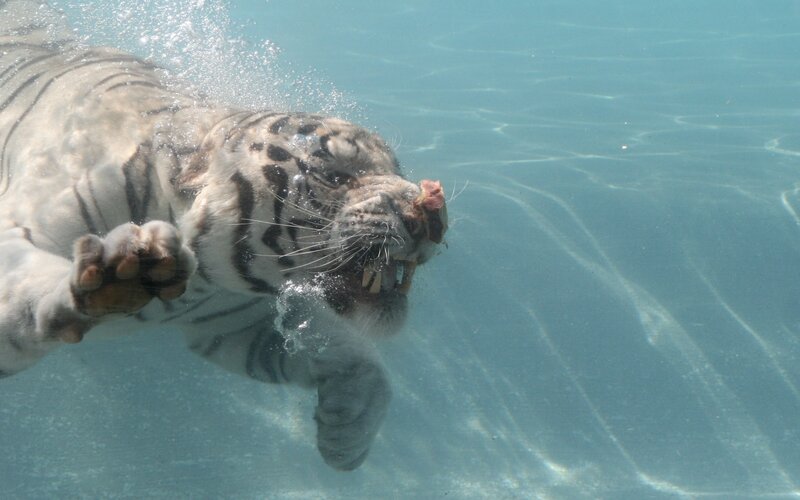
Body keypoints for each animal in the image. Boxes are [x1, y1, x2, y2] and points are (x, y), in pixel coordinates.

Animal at [0, 0, 447, 471]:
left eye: (397, 169)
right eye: (334, 176)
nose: (430, 214)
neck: (198, 276)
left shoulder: (233, 322)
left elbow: (354, 357)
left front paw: (348, 434)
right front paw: (118, 272)